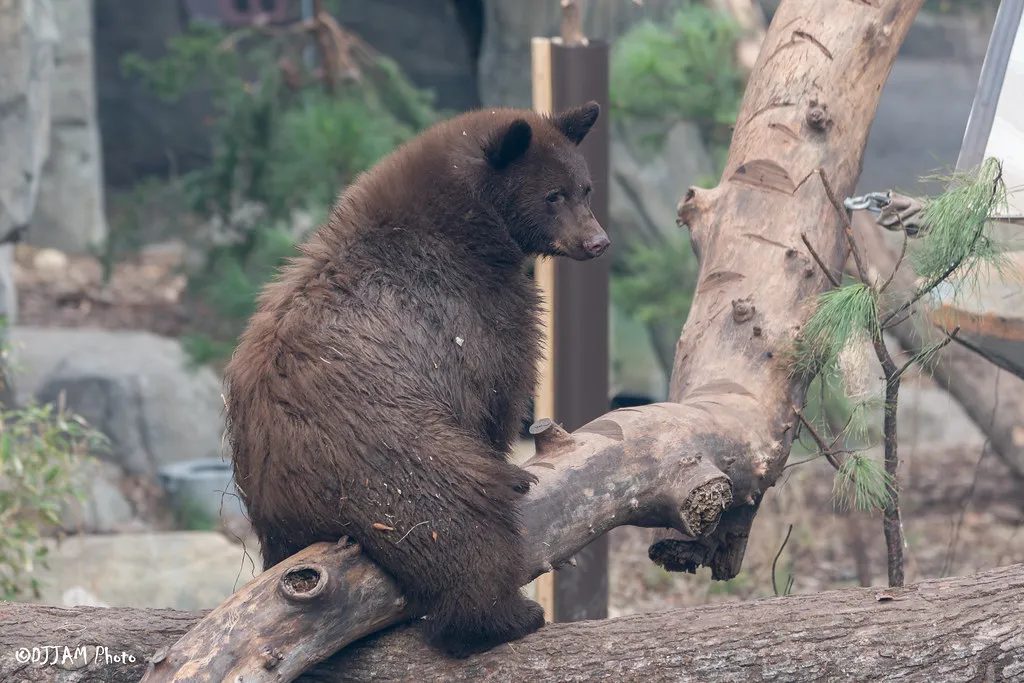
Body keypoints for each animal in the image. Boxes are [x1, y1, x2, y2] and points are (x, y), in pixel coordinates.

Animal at [222, 101, 608, 658]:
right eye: (553, 194)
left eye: (586, 188)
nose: (597, 241)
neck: (466, 228)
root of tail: (290, 494)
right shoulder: (471, 313)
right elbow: (499, 390)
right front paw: (516, 468)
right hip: (401, 464)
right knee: (463, 530)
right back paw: (507, 616)